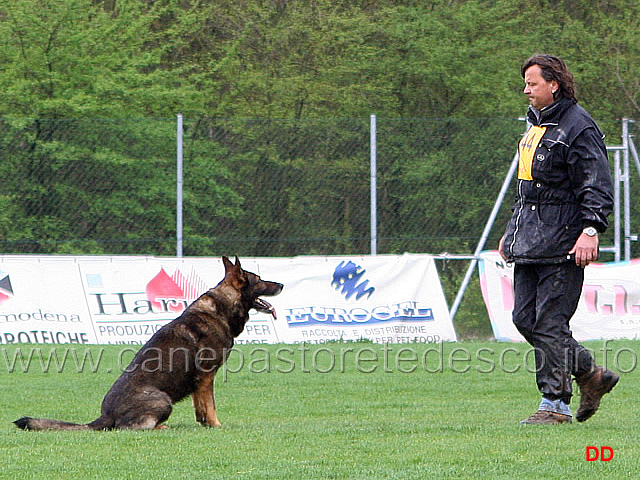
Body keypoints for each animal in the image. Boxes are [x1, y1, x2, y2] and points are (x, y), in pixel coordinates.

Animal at [12, 256, 282, 434]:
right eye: (260, 280)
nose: (281, 285)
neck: (222, 307)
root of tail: (105, 415)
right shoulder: (206, 376)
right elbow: (210, 405)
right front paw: (216, 426)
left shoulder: (199, 382)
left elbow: (200, 407)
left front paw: (204, 424)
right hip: (163, 400)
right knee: (127, 428)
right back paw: (161, 426)